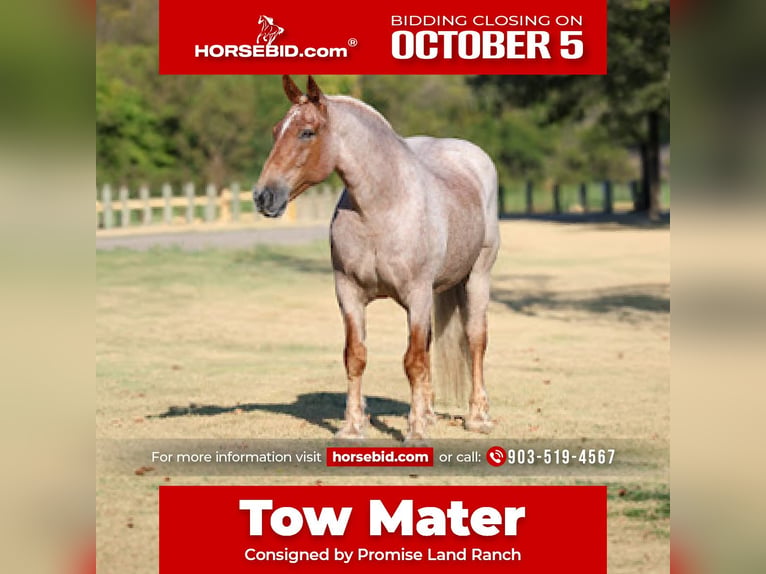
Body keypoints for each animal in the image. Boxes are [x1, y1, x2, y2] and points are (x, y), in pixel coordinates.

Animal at [253, 76, 500, 441]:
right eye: (275, 131)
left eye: (307, 132)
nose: (263, 196)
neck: (380, 209)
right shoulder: (349, 294)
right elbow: (356, 357)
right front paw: (353, 427)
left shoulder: (417, 294)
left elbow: (413, 361)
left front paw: (415, 433)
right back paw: (428, 413)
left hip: (476, 278)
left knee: (475, 341)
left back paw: (478, 416)